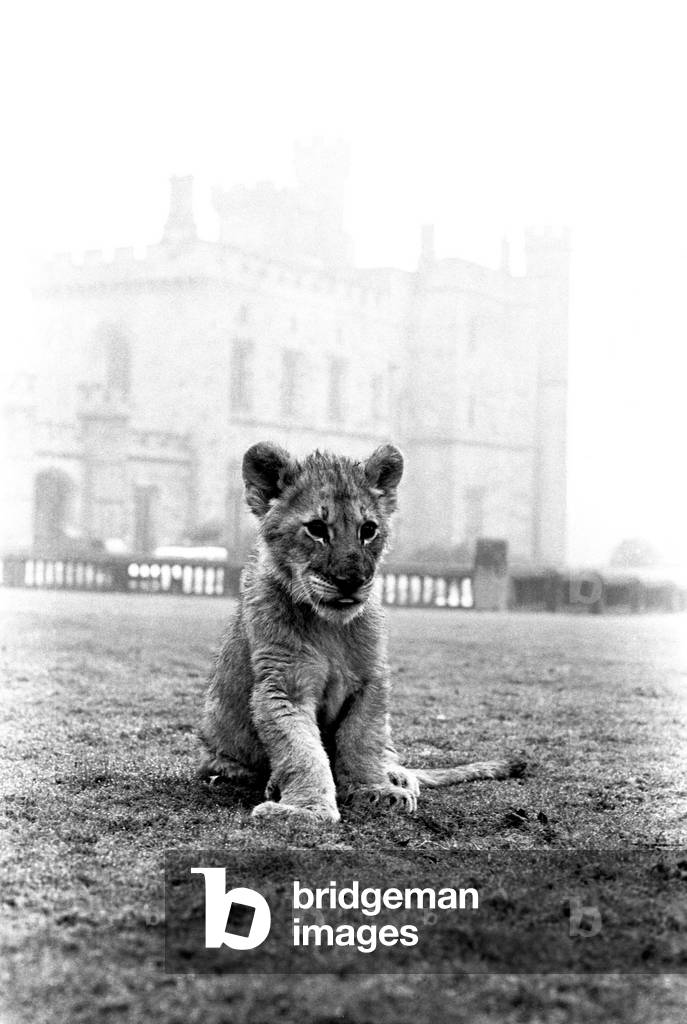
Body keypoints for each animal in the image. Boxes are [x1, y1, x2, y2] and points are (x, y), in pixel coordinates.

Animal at [198, 441, 525, 822]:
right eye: (316, 528)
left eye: (368, 529)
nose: (351, 580)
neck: (329, 627)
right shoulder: (283, 686)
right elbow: (302, 751)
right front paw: (307, 807)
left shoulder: (372, 680)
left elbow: (362, 739)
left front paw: (376, 789)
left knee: (391, 753)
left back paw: (399, 776)